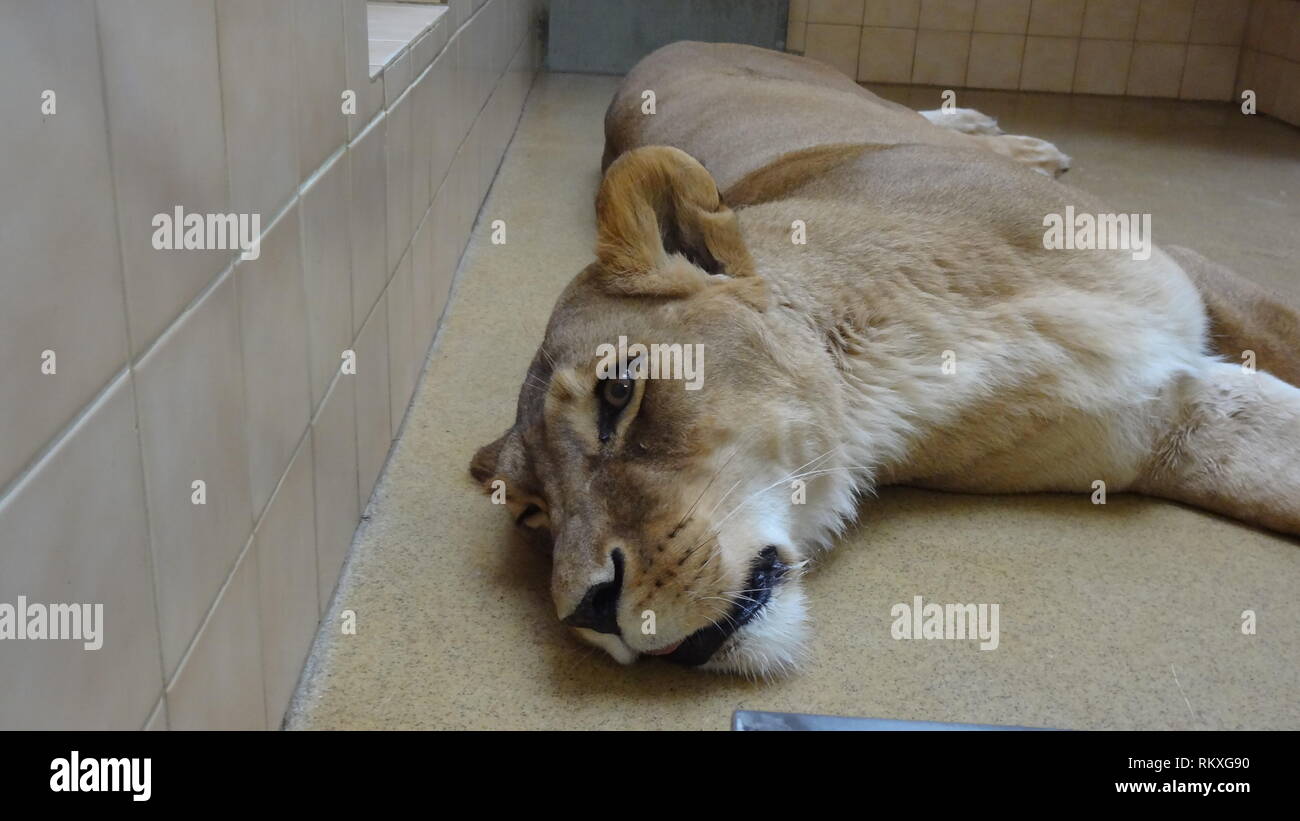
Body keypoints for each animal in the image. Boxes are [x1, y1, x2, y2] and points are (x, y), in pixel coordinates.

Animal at [470, 42, 1300, 677]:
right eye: (532, 513)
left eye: (617, 395)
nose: (588, 609)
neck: (906, 365)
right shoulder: (1169, 426)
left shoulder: (1187, 268)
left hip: (834, 85)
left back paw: (1016, 141)